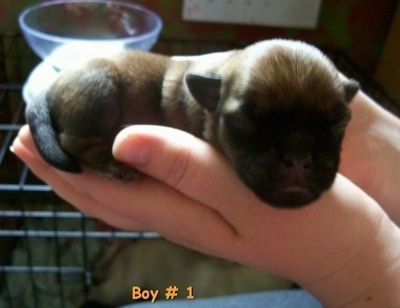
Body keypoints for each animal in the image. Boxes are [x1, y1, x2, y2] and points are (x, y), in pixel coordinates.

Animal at [26, 39, 360, 207]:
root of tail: (48, 87)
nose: (299, 159)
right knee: (74, 141)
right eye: (244, 120)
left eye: (338, 121)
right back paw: (112, 163)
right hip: (100, 89)